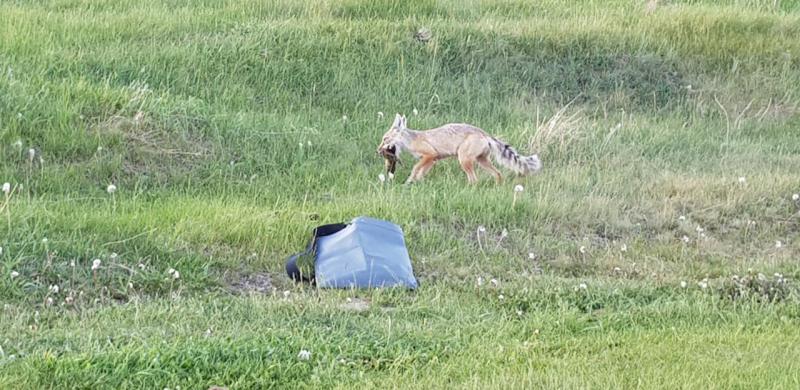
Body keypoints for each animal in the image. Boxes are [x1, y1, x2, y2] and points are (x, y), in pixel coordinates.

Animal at [376, 113, 540, 185]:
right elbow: (420, 172)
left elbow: (416, 168)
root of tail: (484, 133)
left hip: (464, 160)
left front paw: (409, 181)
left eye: (385, 139)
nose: (378, 150)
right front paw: (413, 183)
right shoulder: (432, 160)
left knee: (474, 180)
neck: (412, 140)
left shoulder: (430, 155)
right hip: (481, 161)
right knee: (498, 174)